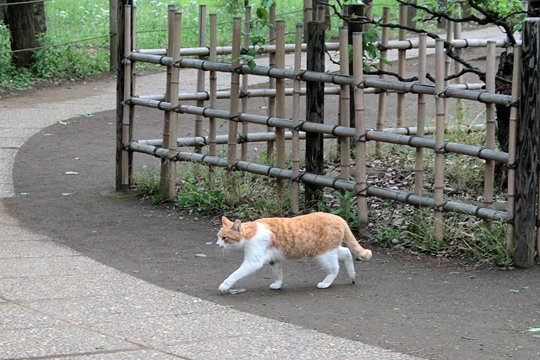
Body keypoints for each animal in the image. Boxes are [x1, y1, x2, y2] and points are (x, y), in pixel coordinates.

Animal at [215, 211, 372, 292]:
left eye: (224, 238)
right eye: (218, 236)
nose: (217, 244)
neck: (250, 232)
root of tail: (339, 218)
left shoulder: (252, 262)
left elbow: (235, 274)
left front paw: (224, 285)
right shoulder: (274, 260)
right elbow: (278, 273)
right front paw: (278, 284)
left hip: (323, 255)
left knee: (335, 268)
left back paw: (325, 283)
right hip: (330, 250)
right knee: (347, 252)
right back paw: (352, 275)